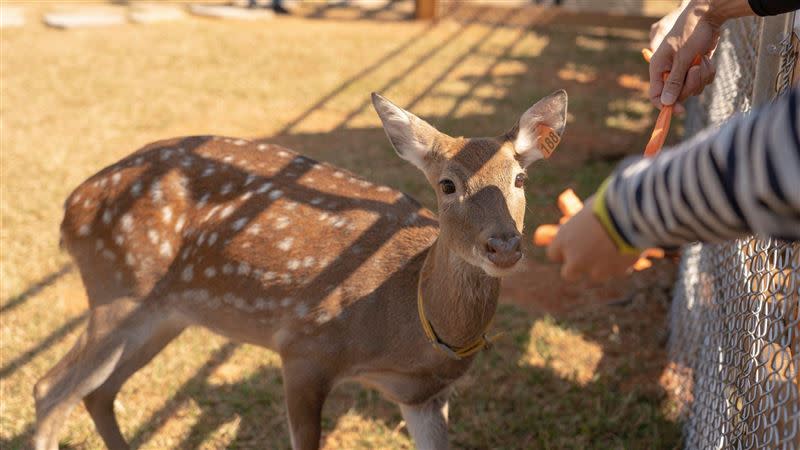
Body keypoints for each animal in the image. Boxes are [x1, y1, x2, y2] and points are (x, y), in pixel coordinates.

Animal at [32, 89, 568, 448]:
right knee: (49, 388)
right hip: (117, 290)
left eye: (520, 178)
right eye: (448, 184)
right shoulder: (304, 347)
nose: (503, 245)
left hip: (163, 315)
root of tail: (69, 209)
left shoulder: (424, 397)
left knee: (96, 393)